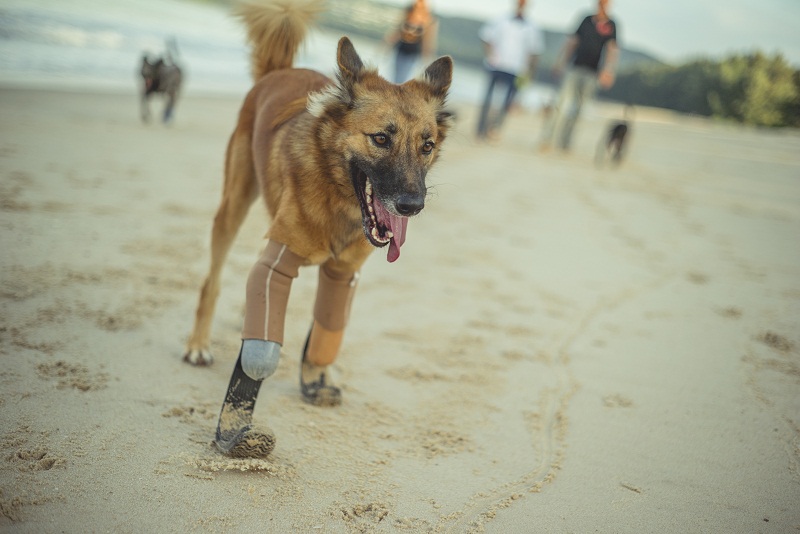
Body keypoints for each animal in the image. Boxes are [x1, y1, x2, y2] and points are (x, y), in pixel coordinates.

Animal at [184, 1, 454, 460]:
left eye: (427, 145)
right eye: (380, 138)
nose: (411, 206)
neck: (339, 197)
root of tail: (280, 72)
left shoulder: (343, 274)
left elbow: (328, 329)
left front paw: (314, 379)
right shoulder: (278, 259)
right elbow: (258, 356)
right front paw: (236, 430)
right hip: (233, 205)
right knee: (212, 280)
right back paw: (199, 343)